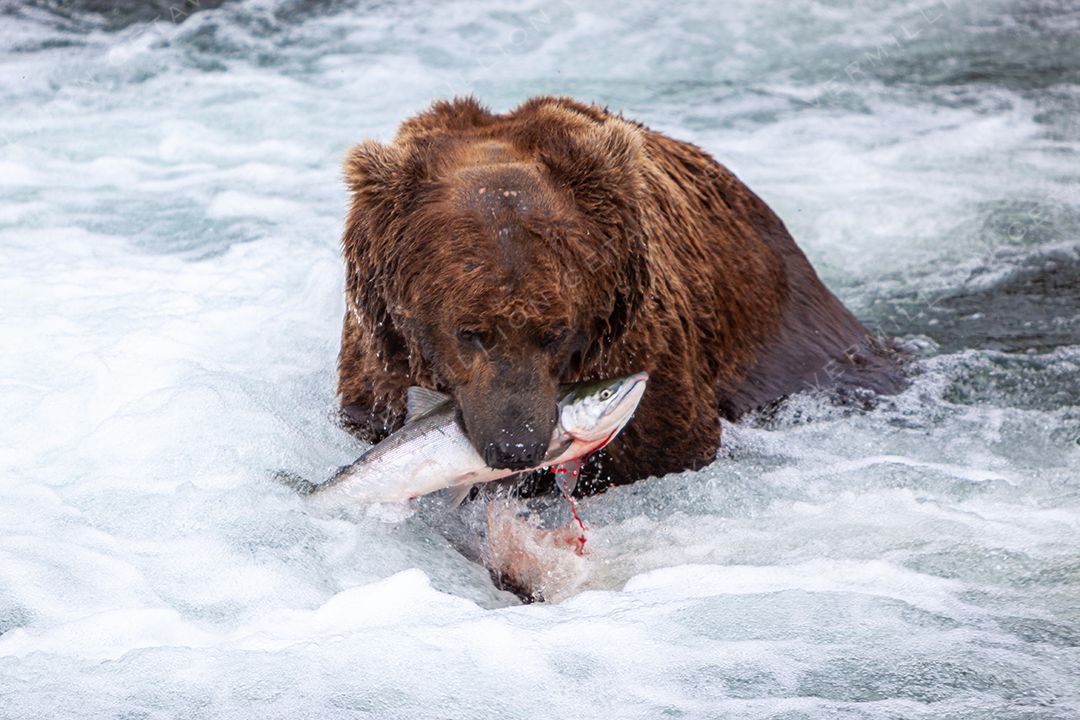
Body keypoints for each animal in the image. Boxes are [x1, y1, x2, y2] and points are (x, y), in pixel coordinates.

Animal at [336, 95, 901, 492]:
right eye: (469, 331)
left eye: (555, 331)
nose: (515, 447)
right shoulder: (381, 364)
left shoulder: (641, 355)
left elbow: (661, 448)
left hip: (787, 336)